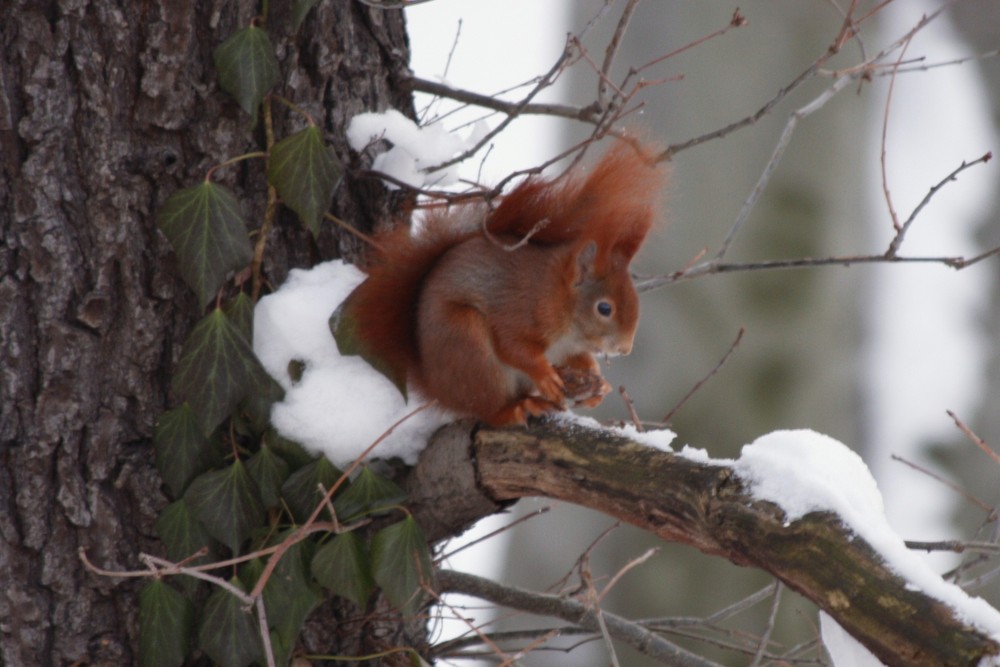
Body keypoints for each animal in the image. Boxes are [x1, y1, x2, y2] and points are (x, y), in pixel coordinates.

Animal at [342, 141, 664, 428]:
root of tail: (437, 386)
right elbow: (514, 347)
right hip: (468, 346)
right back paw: (516, 409)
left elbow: (578, 358)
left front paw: (598, 382)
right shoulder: (520, 309)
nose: (625, 349)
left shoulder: (567, 345)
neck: (559, 298)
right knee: (488, 407)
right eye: (604, 308)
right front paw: (545, 374)